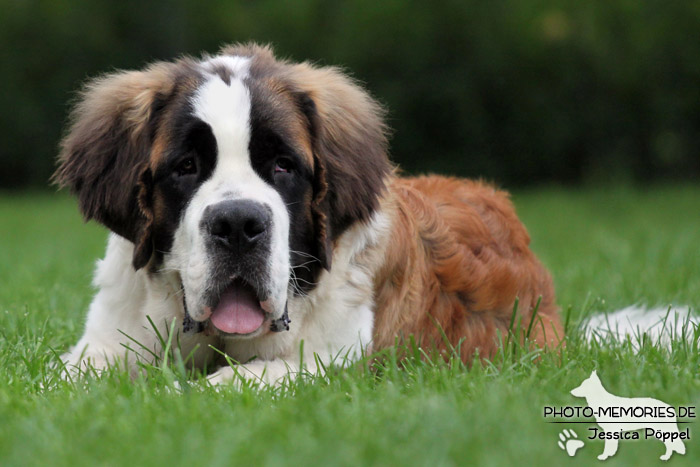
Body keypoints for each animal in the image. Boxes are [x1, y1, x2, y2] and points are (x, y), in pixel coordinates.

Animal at [57, 44, 568, 388]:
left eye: (284, 166)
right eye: (185, 167)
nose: (237, 225)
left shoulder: (338, 360)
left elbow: (241, 379)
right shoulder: (105, 340)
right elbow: (62, 377)